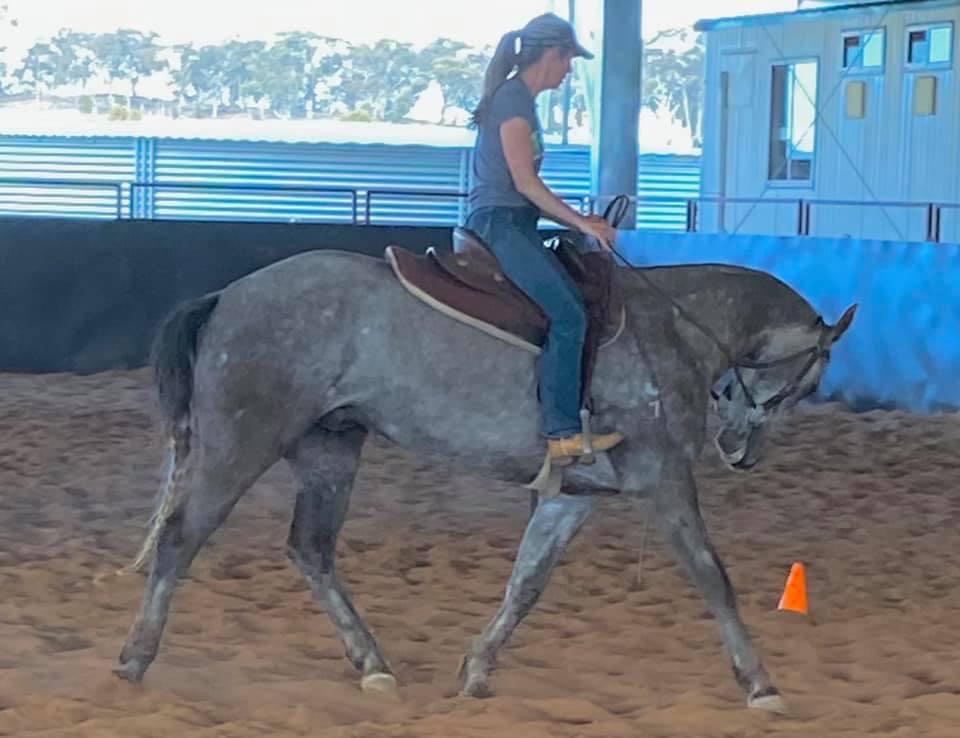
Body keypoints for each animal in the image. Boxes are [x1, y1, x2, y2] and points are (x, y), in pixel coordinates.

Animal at [111, 228, 856, 714]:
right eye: (809, 380)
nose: (740, 450)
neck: (672, 328)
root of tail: (225, 297)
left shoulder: (571, 497)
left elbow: (525, 585)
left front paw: (475, 671)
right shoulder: (664, 482)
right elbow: (713, 578)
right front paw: (760, 684)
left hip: (330, 448)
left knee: (311, 550)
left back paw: (374, 668)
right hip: (241, 443)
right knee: (181, 538)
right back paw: (135, 658)